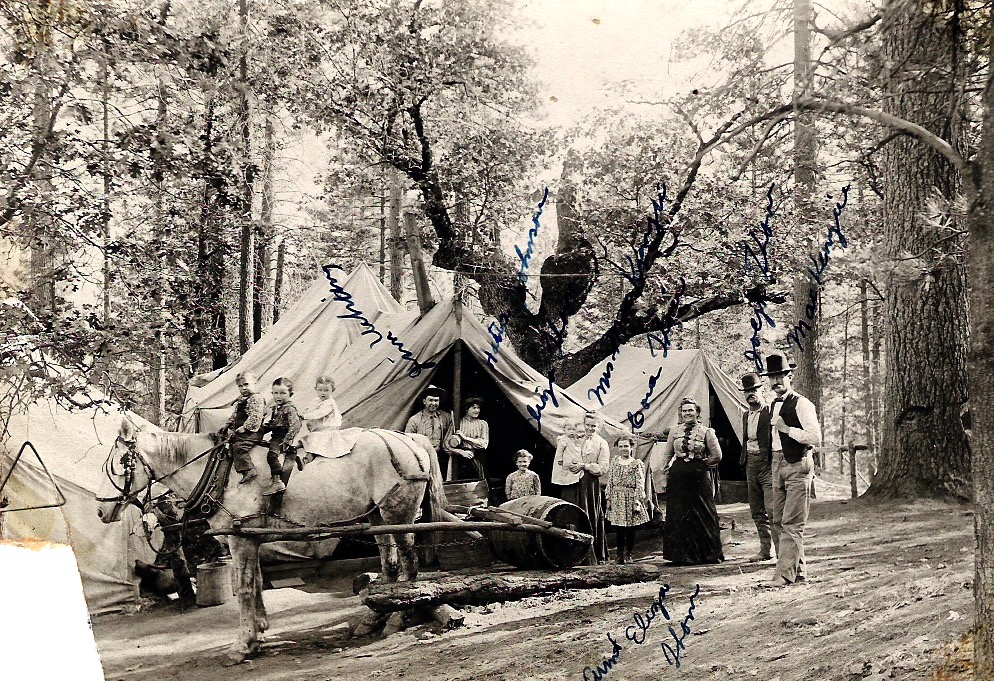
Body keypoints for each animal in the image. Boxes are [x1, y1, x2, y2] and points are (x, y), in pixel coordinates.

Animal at [95, 418, 444, 660]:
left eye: (117, 462)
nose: (100, 510)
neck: (221, 472)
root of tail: (409, 439)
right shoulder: (251, 539)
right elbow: (258, 583)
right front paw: (259, 632)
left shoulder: (240, 540)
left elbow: (245, 588)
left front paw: (244, 644)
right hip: (377, 518)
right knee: (390, 565)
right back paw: (373, 619)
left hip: (398, 515)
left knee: (409, 564)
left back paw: (398, 617)